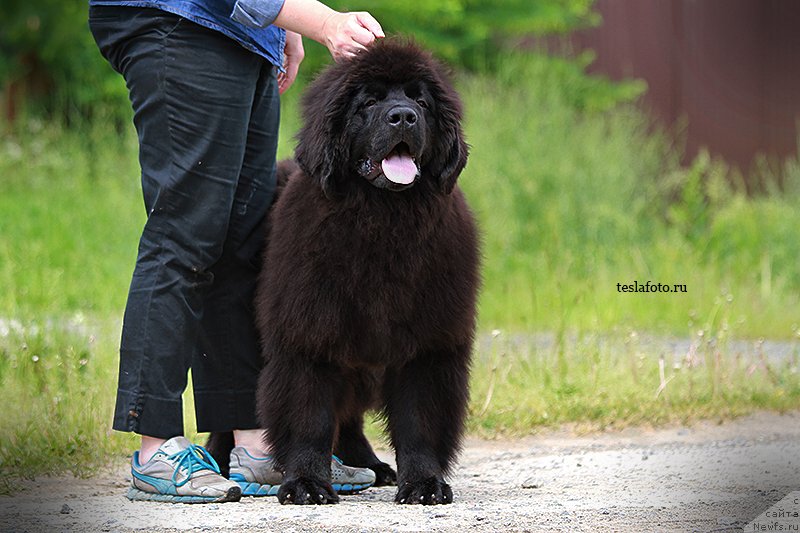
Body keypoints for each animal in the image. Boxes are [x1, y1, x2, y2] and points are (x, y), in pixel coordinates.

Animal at [211, 39, 476, 504]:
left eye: (420, 101)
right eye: (368, 103)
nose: (403, 116)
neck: (383, 221)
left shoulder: (429, 342)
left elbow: (419, 421)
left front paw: (423, 483)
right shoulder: (308, 334)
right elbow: (310, 417)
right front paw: (306, 483)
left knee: (350, 418)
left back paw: (367, 466)